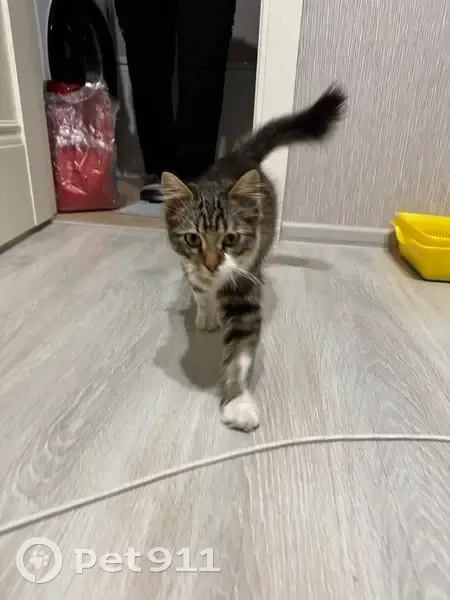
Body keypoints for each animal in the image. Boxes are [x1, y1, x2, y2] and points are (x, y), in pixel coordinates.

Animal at [161, 85, 346, 432]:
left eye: (231, 239)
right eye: (193, 239)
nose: (211, 263)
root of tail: (241, 155)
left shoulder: (245, 291)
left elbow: (239, 356)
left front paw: (238, 404)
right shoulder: (190, 266)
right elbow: (200, 290)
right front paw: (207, 313)